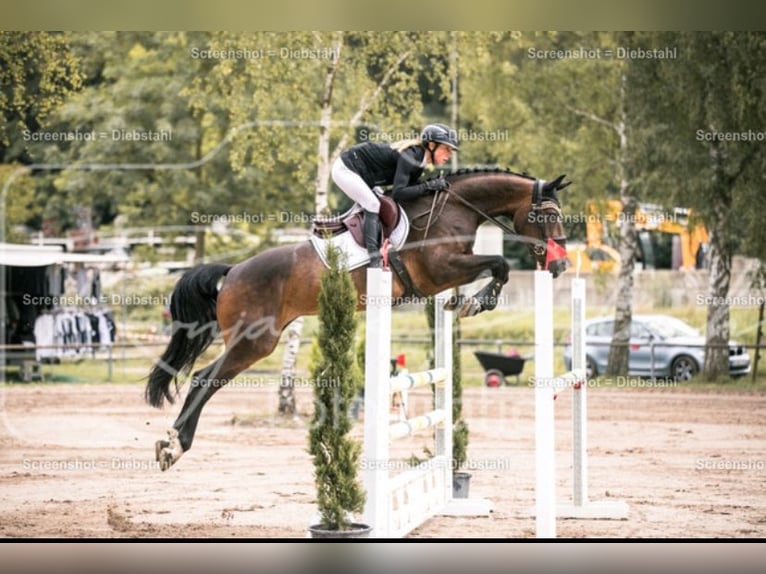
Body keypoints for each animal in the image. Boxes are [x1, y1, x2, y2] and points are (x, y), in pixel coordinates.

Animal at [146, 168, 571, 470]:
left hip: (254, 339)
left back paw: (173, 444)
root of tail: (233, 270)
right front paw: (477, 303)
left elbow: (493, 267)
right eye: (546, 216)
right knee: (205, 378)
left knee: (205, 378)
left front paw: (467, 303)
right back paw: (173, 446)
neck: (456, 208)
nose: (561, 265)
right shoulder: (440, 270)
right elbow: (499, 263)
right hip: (254, 340)